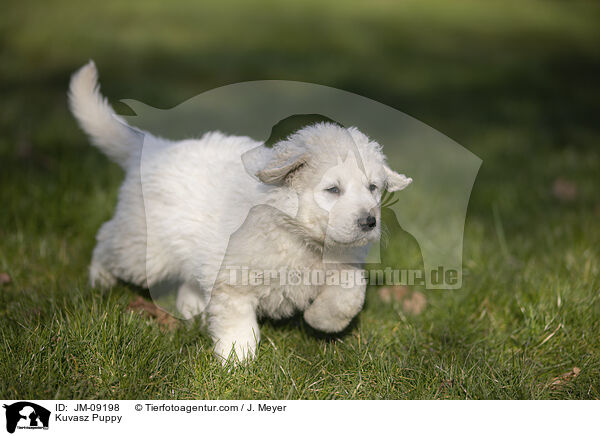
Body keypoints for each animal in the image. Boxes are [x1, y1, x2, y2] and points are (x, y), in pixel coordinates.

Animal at [67, 60, 412, 364]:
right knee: (107, 239)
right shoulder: (232, 279)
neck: (298, 235)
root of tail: (156, 148)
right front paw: (237, 361)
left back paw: (191, 309)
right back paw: (99, 280)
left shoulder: (343, 264)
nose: (369, 221)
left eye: (372, 187)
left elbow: (349, 294)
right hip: (145, 252)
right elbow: (237, 322)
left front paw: (321, 320)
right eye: (333, 190)